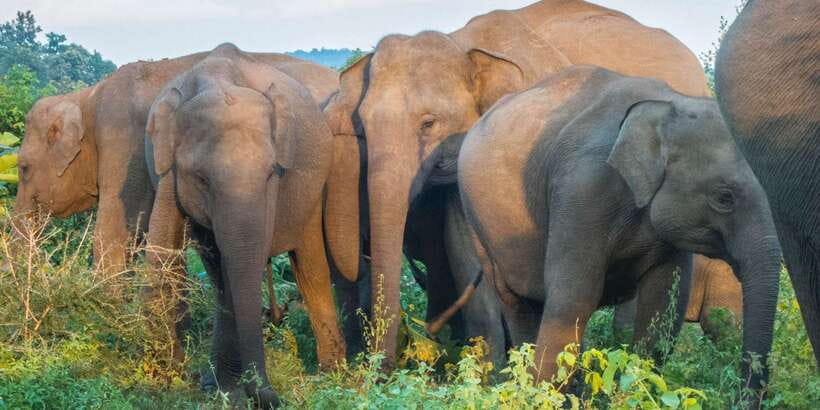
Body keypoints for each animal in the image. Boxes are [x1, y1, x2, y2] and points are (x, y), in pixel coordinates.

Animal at [144, 43, 345, 408]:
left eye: (269, 173)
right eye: (202, 179)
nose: (269, 395)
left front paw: (232, 390)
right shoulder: (168, 172)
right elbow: (168, 250)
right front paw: (213, 389)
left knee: (309, 267)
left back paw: (332, 375)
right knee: (218, 272)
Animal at [322, 0, 711, 366]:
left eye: (428, 124)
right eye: (362, 126)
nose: (381, 371)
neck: (461, 42)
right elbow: (461, 243)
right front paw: (489, 373)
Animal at [457, 66, 781, 399]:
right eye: (724, 198)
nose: (743, 398)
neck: (669, 103)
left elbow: (663, 304)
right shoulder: (582, 187)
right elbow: (574, 296)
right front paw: (545, 397)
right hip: (476, 219)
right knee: (516, 301)